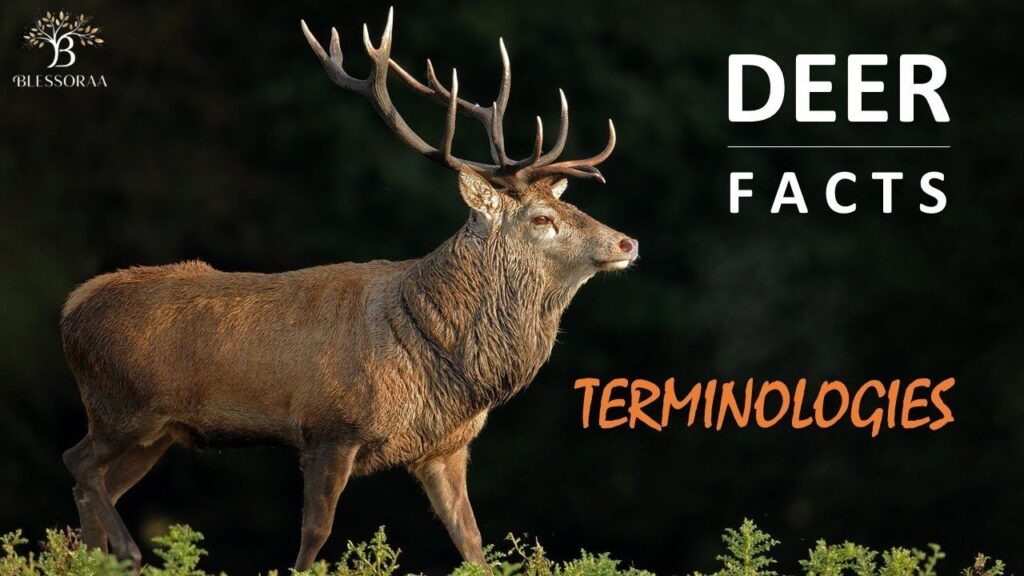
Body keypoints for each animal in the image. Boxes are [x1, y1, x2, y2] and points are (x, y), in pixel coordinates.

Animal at [59, 7, 637, 572]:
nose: (627, 241)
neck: (438, 356)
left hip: (155, 431)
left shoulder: (444, 447)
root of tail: (71, 308)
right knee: (77, 463)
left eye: (570, 205)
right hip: (121, 406)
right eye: (542, 218)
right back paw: (128, 552)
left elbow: (472, 543)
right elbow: (314, 537)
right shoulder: (330, 428)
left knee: (93, 486)